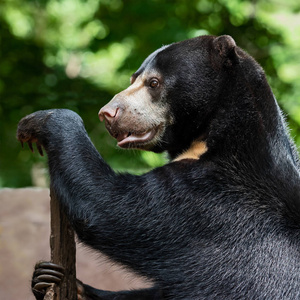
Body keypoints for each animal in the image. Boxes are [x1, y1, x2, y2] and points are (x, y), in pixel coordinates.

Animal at [17, 35, 300, 300]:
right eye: (133, 78)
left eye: (153, 83)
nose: (108, 114)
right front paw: (49, 278)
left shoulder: (212, 198)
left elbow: (113, 207)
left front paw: (43, 121)